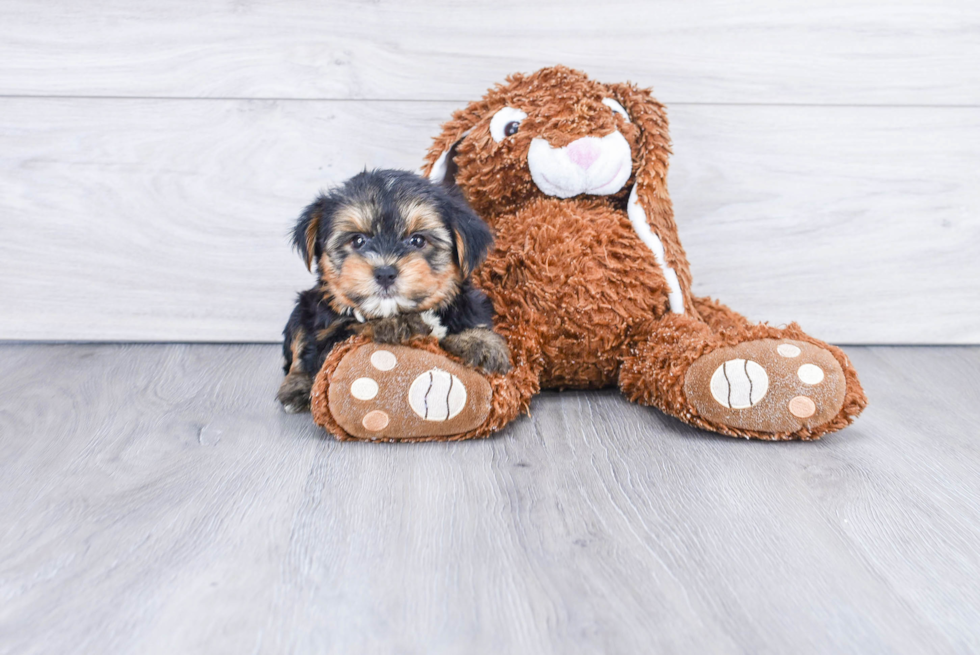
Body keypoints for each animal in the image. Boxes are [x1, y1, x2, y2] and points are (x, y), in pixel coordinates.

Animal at [274, 170, 510, 416]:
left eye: (418, 240)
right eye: (357, 240)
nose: (385, 273)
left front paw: (481, 342)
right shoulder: (327, 337)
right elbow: (353, 325)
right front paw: (392, 324)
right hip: (303, 307)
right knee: (297, 348)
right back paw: (297, 388)